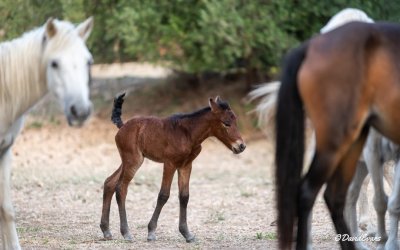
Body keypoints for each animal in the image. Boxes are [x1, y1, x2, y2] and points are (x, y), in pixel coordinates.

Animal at [99, 93, 247, 242]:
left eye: (235, 121)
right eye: (226, 123)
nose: (241, 146)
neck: (188, 133)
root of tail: (122, 126)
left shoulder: (186, 165)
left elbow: (184, 196)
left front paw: (187, 233)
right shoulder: (169, 163)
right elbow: (163, 195)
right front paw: (151, 232)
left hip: (127, 160)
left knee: (109, 182)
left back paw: (106, 231)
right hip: (133, 161)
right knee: (121, 188)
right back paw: (126, 232)